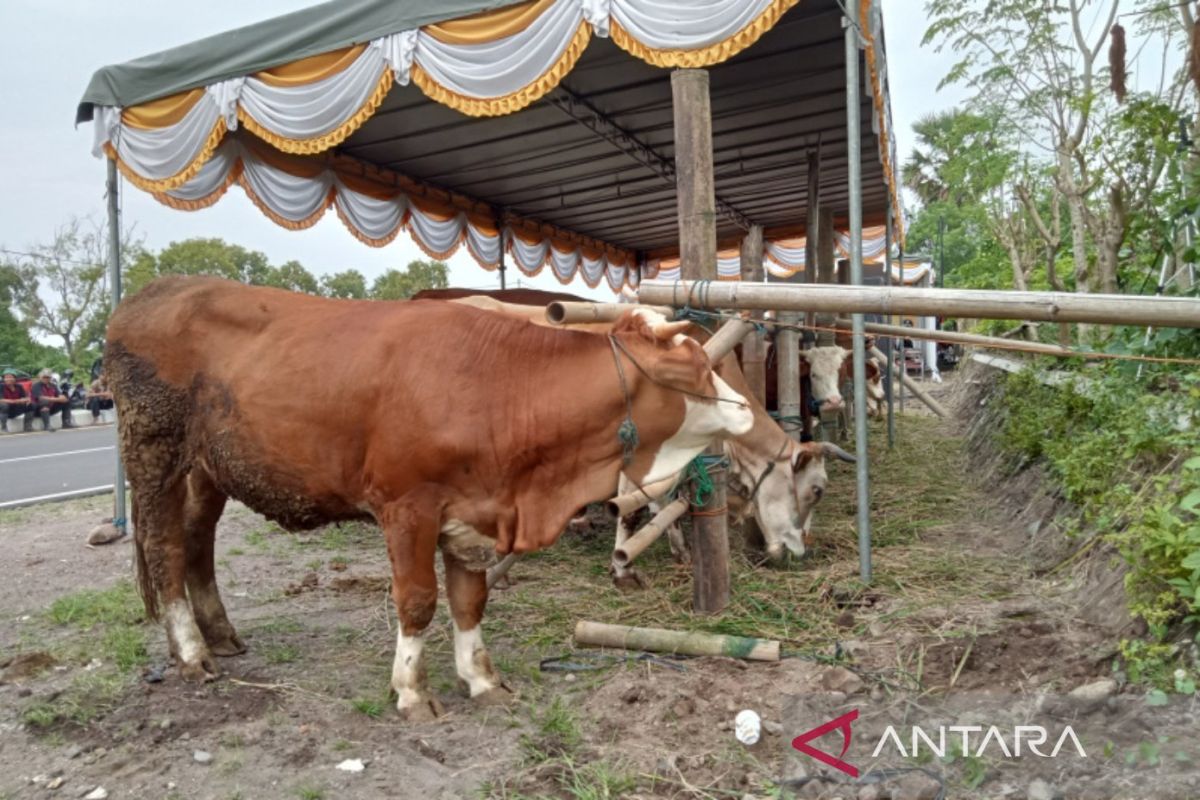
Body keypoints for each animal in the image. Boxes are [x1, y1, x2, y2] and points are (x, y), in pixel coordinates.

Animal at [103, 275, 748, 719]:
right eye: (691, 372)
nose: (747, 413)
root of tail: (155, 290)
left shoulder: (475, 509)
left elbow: (469, 600)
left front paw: (481, 679)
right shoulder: (407, 507)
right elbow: (416, 601)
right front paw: (412, 691)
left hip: (208, 471)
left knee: (197, 541)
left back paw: (221, 634)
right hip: (154, 456)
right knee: (164, 549)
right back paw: (192, 654)